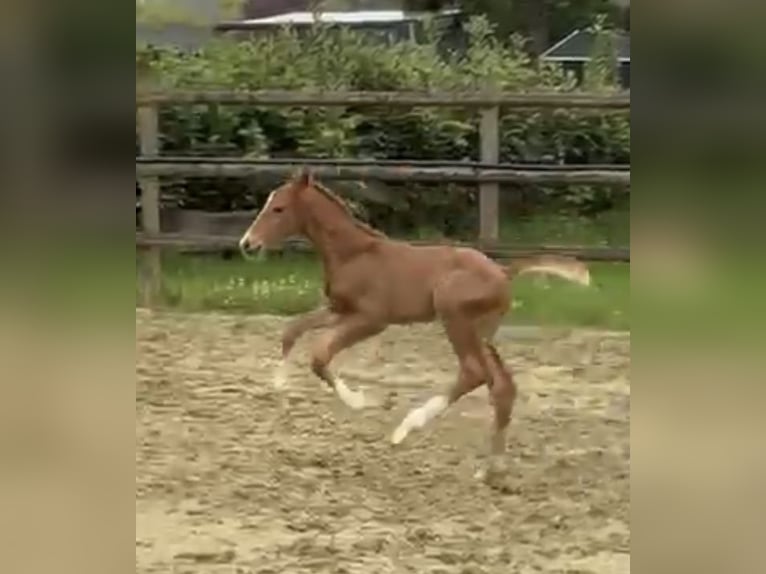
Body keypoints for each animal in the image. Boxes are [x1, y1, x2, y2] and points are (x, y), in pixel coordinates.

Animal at [238, 169, 591, 477]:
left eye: (279, 208)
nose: (247, 244)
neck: (354, 253)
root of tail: (504, 273)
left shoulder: (372, 319)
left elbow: (320, 354)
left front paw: (360, 401)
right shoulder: (339, 309)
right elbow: (292, 330)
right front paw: (279, 384)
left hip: (455, 318)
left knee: (474, 373)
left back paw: (406, 429)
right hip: (482, 332)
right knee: (502, 385)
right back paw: (490, 469)